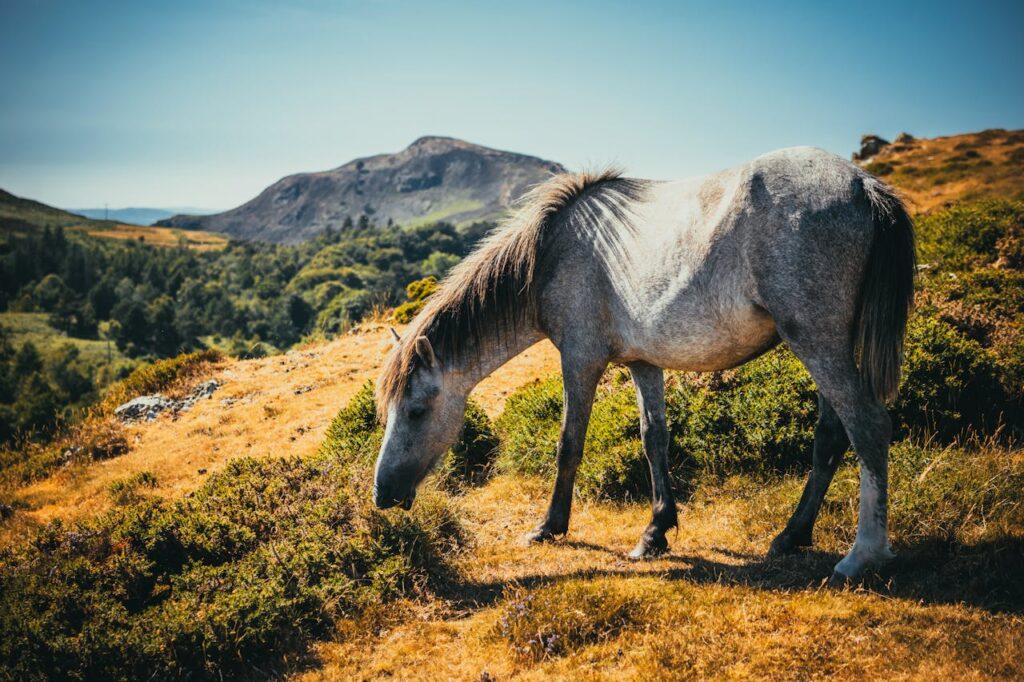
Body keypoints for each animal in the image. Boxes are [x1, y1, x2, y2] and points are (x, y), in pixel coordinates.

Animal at [372, 146, 915, 581]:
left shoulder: (580, 359)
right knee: (831, 434)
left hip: (817, 341)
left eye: (416, 411)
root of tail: (862, 184)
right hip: (823, 346)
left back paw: (863, 555)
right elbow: (654, 439)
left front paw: (550, 526)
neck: (552, 253)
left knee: (867, 426)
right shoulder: (642, 363)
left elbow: (568, 443)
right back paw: (792, 535)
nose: (382, 495)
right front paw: (656, 531)